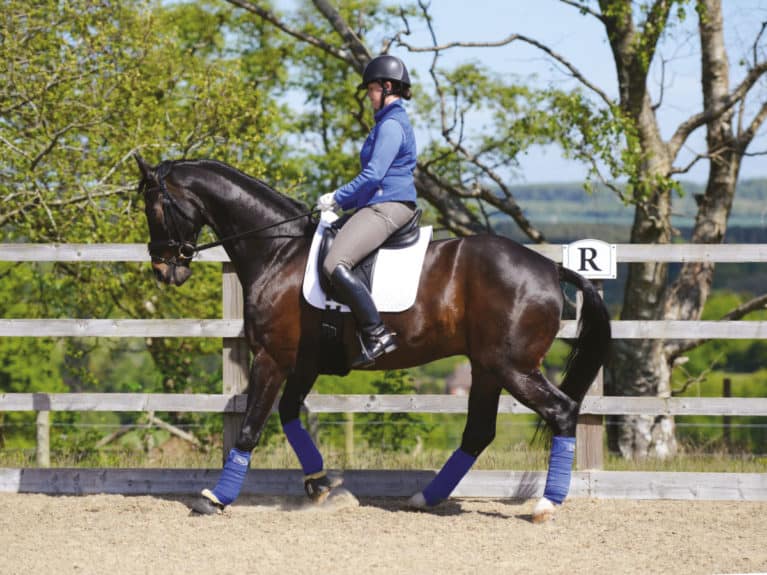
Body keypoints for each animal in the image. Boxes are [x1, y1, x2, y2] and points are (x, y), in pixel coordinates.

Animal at [134, 155, 612, 524]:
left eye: (153, 208)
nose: (164, 270)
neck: (278, 252)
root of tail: (551, 268)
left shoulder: (271, 358)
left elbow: (251, 427)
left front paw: (216, 498)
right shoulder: (303, 363)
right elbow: (289, 417)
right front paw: (322, 486)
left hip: (513, 367)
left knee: (561, 411)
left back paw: (546, 505)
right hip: (486, 367)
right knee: (478, 431)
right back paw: (425, 497)